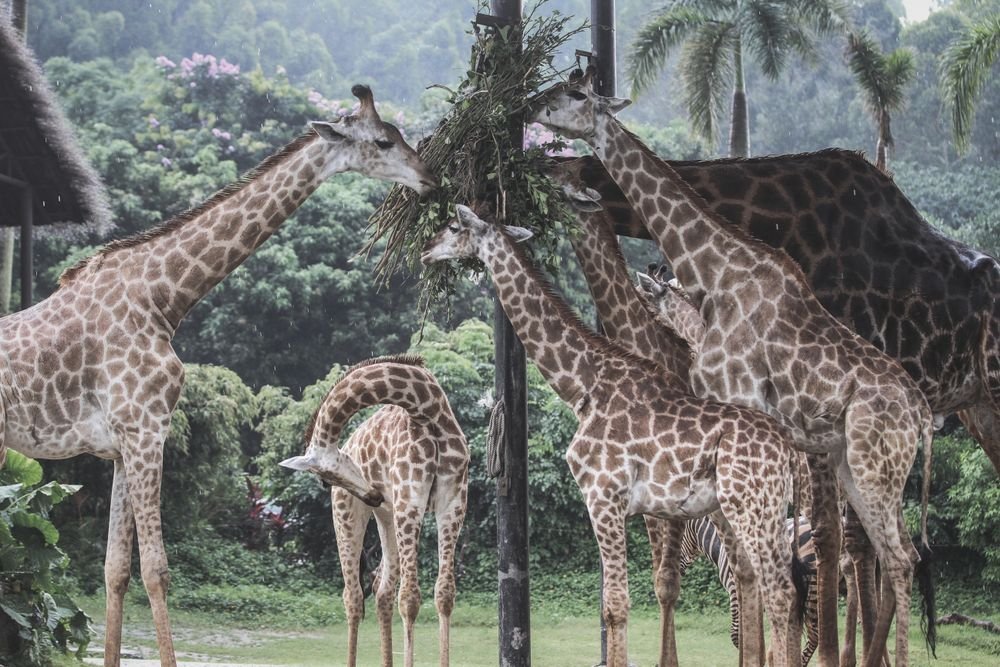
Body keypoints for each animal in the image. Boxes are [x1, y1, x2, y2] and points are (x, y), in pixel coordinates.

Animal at [0, 85, 437, 667]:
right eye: (385, 141)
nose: (430, 177)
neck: (164, 298)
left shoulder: (120, 444)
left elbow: (115, 569)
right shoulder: (147, 431)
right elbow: (156, 570)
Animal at [281, 355, 468, 667]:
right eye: (325, 481)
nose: (373, 495)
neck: (427, 408)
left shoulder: (453, 501)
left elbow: (444, 593)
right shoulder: (410, 500)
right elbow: (410, 599)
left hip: (389, 518)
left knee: (382, 590)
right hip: (348, 514)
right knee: (354, 596)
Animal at [421, 204, 804, 667]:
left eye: (454, 226)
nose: (426, 250)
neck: (582, 385)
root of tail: (787, 449)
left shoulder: (603, 495)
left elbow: (617, 605)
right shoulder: (626, 505)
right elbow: (619, 603)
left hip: (751, 506)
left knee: (778, 591)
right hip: (757, 509)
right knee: (776, 586)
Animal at [530, 71, 934, 667]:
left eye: (576, 95)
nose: (534, 107)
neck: (716, 275)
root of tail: (923, 415)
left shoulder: (734, 413)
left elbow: (730, 573)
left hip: (869, 465)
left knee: (889, 556)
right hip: (857, 466)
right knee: (882, 553)